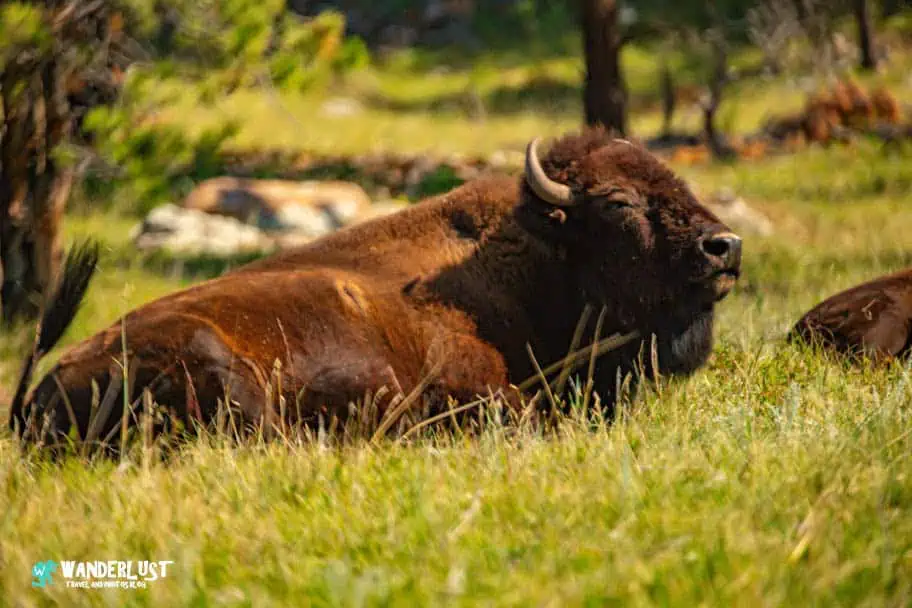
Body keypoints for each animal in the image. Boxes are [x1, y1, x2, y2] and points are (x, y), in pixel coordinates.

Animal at [9, 128, 742, 446]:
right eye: (618, 204)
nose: (725, 247)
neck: (533, 262)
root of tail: (40, 389)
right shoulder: (474, 387)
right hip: (220, 370)